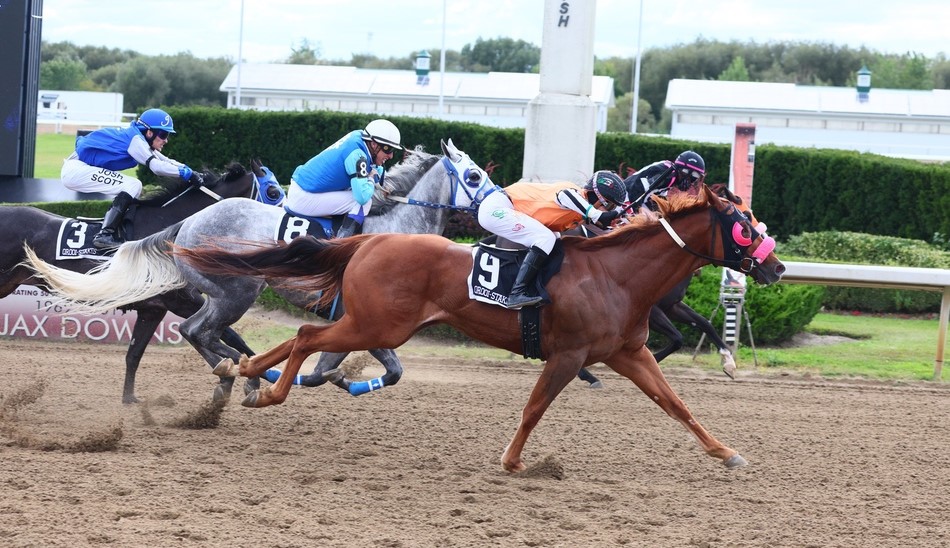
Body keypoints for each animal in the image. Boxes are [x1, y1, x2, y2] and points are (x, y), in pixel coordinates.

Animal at [0, 164, 260, 402]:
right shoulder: (181, 300)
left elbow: (135, 353)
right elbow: (223, 334)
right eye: (269, 191)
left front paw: (129, 398)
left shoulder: (153, 308)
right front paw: (240, 377)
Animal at [175, 186, 784, 474]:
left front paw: (728, 453)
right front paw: (513, 461)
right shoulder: (568, 356)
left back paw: (245, 373)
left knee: (290, 337)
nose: (776, 266)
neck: (615, 273)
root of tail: (372, 238)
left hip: (368, 322)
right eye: (744, 226)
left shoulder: (629, 353)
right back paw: (262, 387)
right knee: (304, 337)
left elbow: (676, 405)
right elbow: (534, 409)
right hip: (376, 323)